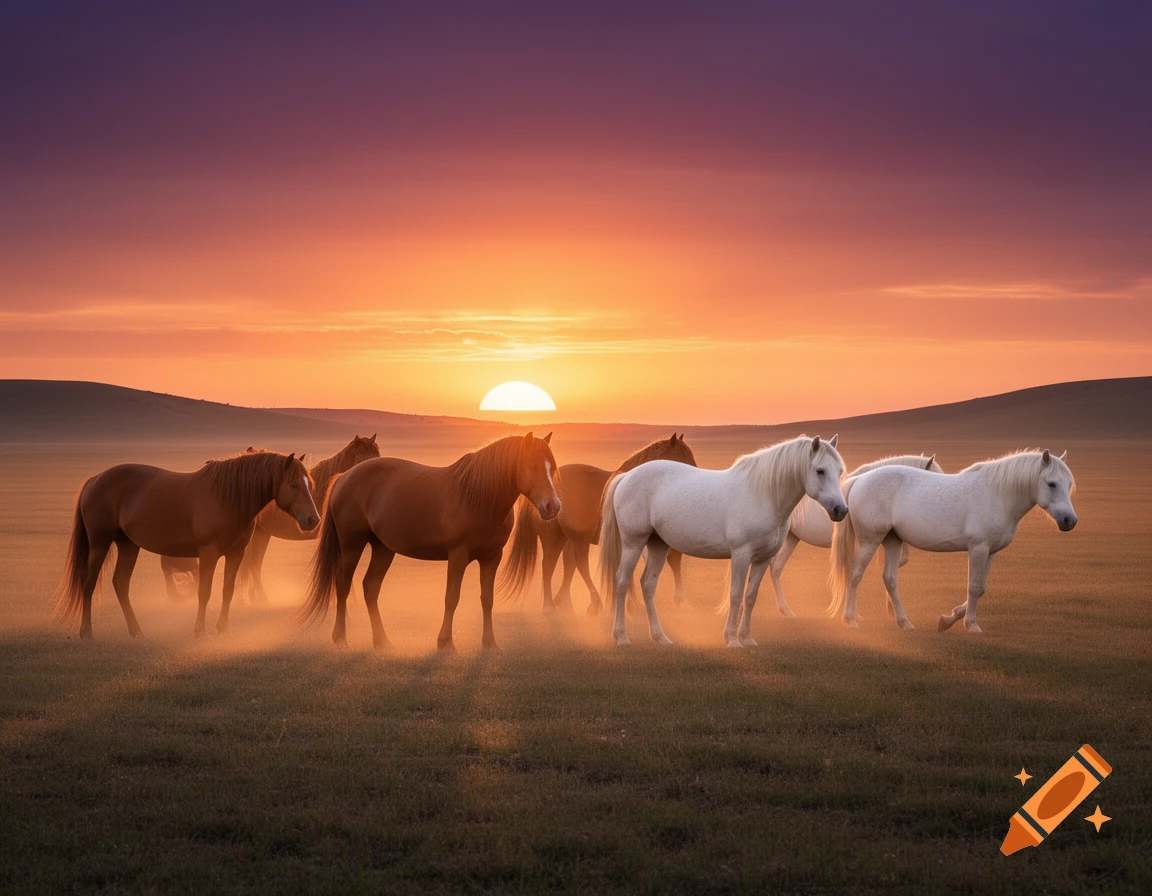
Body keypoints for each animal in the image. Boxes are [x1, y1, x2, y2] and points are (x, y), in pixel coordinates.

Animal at [55, 450, 319, 640]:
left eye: (311, 484)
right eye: (294, 484)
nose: (313, 519)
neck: (228, 499)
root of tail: (95, 479)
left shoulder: (236, 553)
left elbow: (228, 590)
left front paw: (224, 630)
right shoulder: (208, 554)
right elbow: (204, 591)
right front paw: (200, 631)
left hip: (128, 545)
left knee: (121, 583)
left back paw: (136, 631)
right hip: (99, 543)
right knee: (88, 583)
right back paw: (87, 633)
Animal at [300, 432, 562, 651]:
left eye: (553, 467)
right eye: (533, 466)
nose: (553, 506)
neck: (478, 498)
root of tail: (344, 476)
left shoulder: (492, 557)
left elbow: (487, 599)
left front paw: (490, 643)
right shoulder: (458, 556)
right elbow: (451, 598)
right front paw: (445, 642)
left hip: (383, 548)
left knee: (370, 587)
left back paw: (382, 641)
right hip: (351, 545)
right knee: (343, 584)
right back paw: (341, 638)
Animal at [499, 433, 698, 615]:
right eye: (683, 460)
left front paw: (634, 603)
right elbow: (670, 560)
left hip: (566, 538)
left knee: (567, 564)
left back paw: (564, 602)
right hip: (561, 538)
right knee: (562, 565)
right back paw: (567, 604)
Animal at [599, 435, 847, 648]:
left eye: (840, 471)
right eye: (820, 471)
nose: (840, 510)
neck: (763, 495)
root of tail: (626, 476)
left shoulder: (763, 559)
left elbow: (750, 597)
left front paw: (747, 639)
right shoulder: (741, 555)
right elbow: (735, 595)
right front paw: (732, 639)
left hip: (658, 545)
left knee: (648, 585)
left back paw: (660, 637)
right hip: (633, 543)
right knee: (622, 582)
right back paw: (621, 637)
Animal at [827, 449, 1076, 633]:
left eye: (1069, 484)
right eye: (1052, 483)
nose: (1069, 520)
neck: (998, 494)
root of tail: (859, 480)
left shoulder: (992, 552)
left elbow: (981, 588)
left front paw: (948, 619)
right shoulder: (978, 549)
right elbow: (973, 587)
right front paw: (971, 625)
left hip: (892, 540)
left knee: (889, 579)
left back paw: (904, 622)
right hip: (870, 540)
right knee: (855, 574)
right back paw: (850, 620)